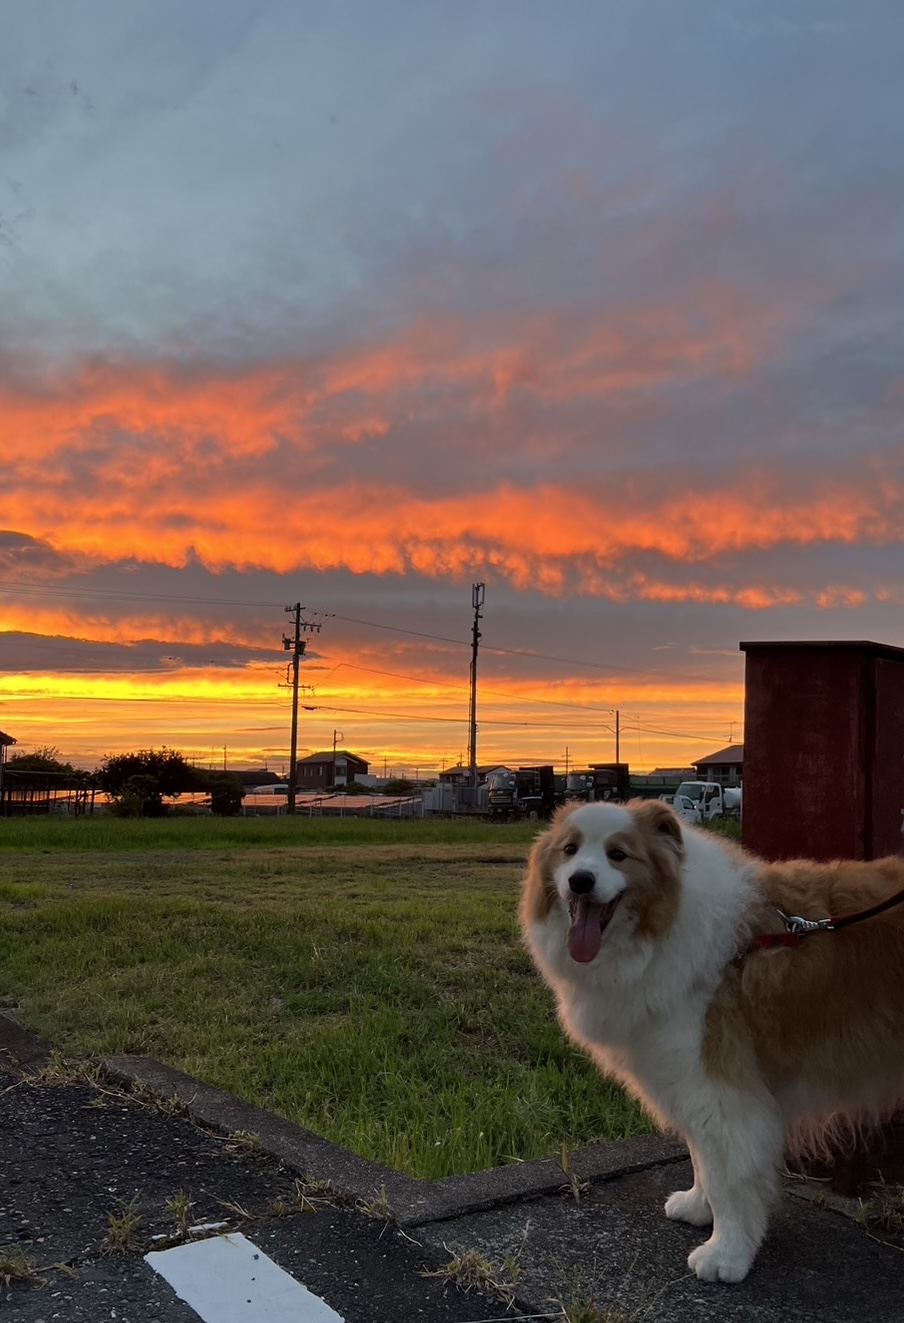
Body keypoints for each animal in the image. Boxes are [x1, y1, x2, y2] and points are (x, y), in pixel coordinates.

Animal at [518, 793, 904, 1280]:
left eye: (618, 854)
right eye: (569, 850)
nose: (580, 881)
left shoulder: (722, 1088)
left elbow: (727, 1176)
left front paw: (727, 1253)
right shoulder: (691, 1081)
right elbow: (704, 1159)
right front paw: (699, 1208)